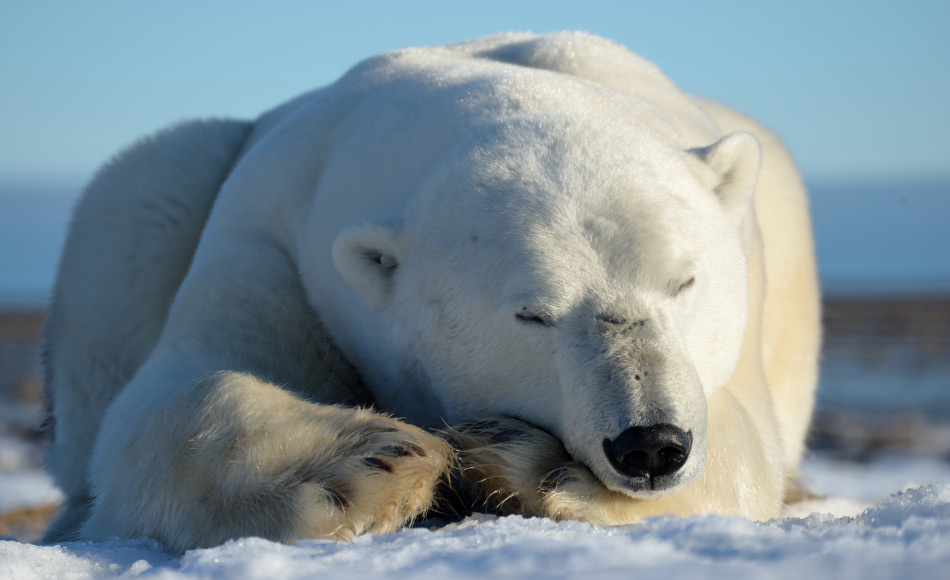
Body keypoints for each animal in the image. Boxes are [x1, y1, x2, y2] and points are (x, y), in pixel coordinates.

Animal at [42, 32, 820, 552]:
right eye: (534, 314)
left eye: (683, 282)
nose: (651, 444)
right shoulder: (275, 238)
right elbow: (177, 393)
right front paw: (370, 463)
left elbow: (745, 446)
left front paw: (532, 465)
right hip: (164, 198)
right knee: (136, 202)